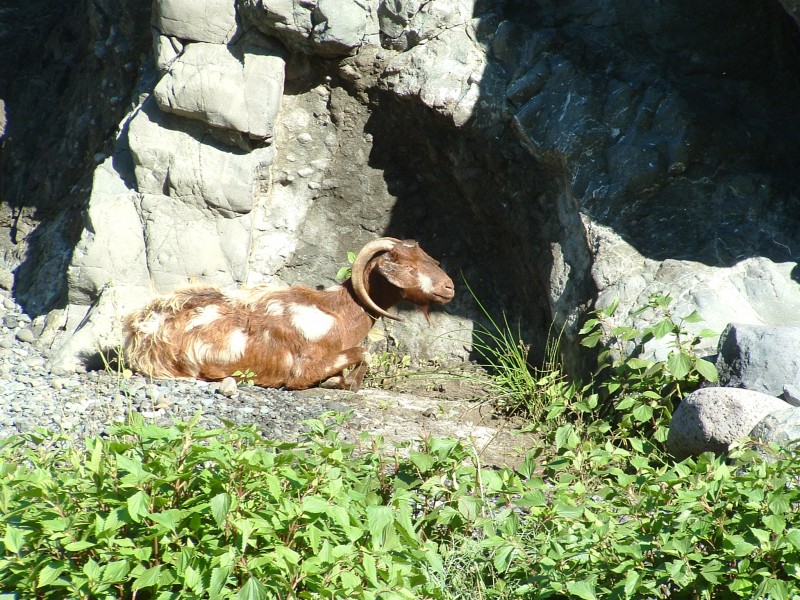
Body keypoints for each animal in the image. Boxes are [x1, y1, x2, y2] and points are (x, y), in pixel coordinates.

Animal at [122, 237, 454, 392]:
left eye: (430, 259)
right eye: (408, 266)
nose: (449, 287)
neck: (339, 312)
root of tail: (138, 332)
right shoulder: (303, 367)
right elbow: (363, 353)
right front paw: (346, 383)